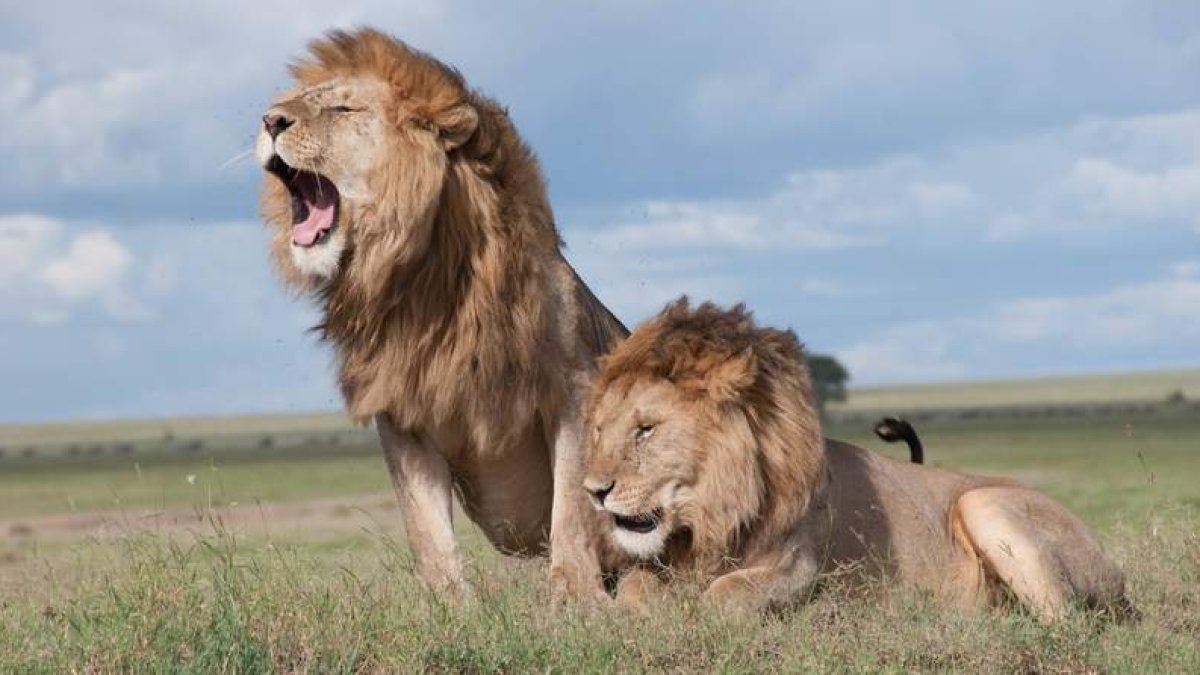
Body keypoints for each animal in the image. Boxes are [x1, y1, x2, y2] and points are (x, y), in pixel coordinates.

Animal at [256, 28, 627, 600]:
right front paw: (451, 607)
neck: (422, 284)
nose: (270, 120)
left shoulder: (572, 389)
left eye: (342, 108)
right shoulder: (401, 413)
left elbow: (571, 509)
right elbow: (426, 528)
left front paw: (577, 599)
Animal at [582, 298, 1133, 620]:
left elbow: (724, 597)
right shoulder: (657, 564)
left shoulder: (800, 568)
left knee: (1066, 620)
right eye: (600, 429)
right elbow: (633, 591)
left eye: (646, 429)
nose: (593, 492)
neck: (711, 514)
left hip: (984, 503)